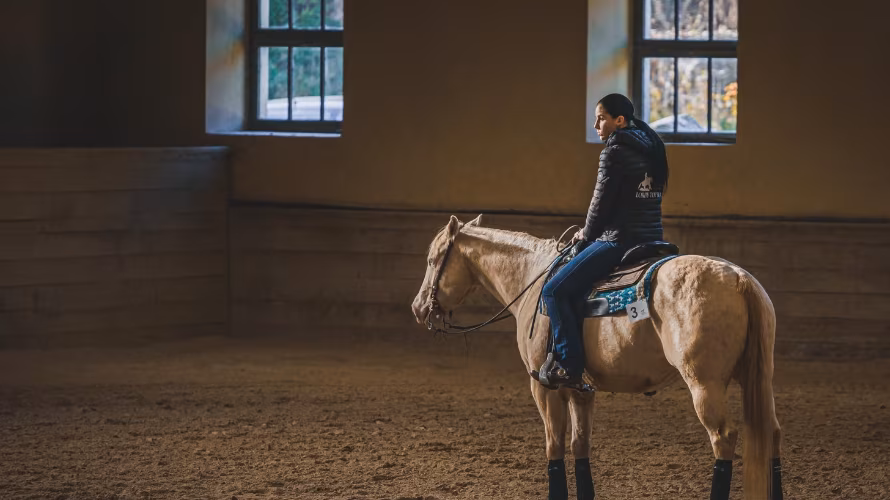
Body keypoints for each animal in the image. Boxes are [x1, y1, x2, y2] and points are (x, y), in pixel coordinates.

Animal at [411, 215, 783, 500]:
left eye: (432, 260)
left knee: (723, 438)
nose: (418, 308)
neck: (533, 279)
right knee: (772, 434)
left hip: (705, 385)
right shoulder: (581, 390)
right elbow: (580, 445)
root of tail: (738, 278)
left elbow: (554, 446)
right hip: (759, 379)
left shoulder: (544, 388)